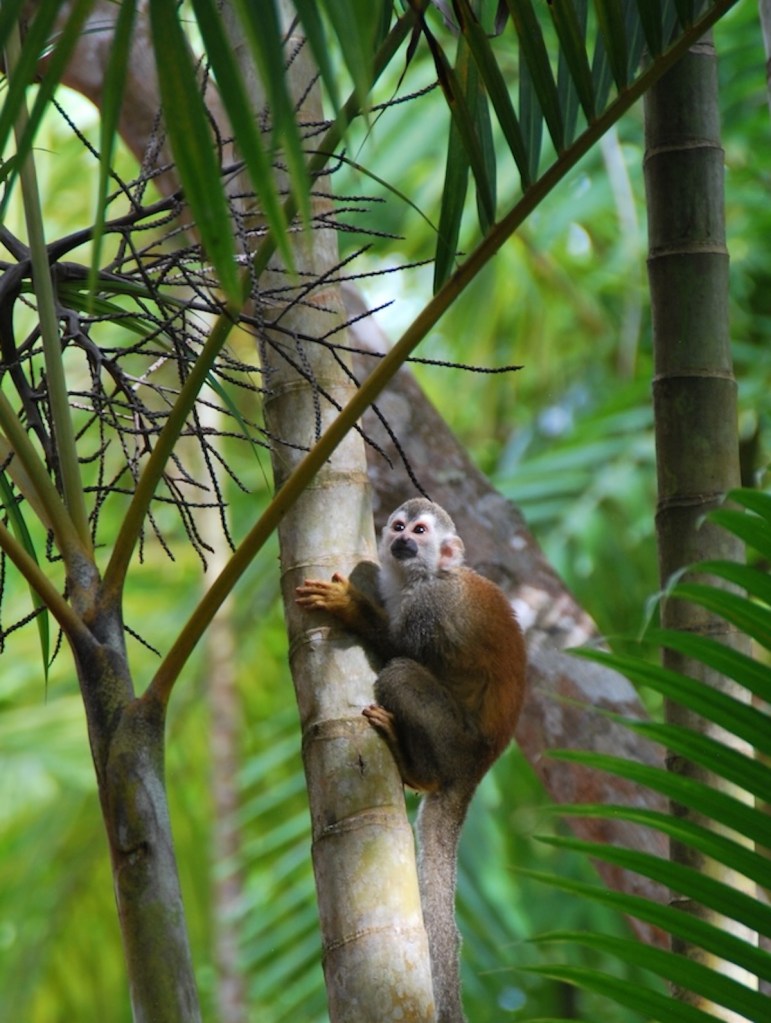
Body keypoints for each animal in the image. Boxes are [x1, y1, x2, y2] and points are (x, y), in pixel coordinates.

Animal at [296, 498, 526, 1023]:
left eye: (420, 532)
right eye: (399, 527)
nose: (402, 540)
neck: (420, 579)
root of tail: (481, 764)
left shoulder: (430, 608)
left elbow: (397, 649)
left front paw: (351, 608)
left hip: (454, 740)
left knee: (401, 671)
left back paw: (416, 768)